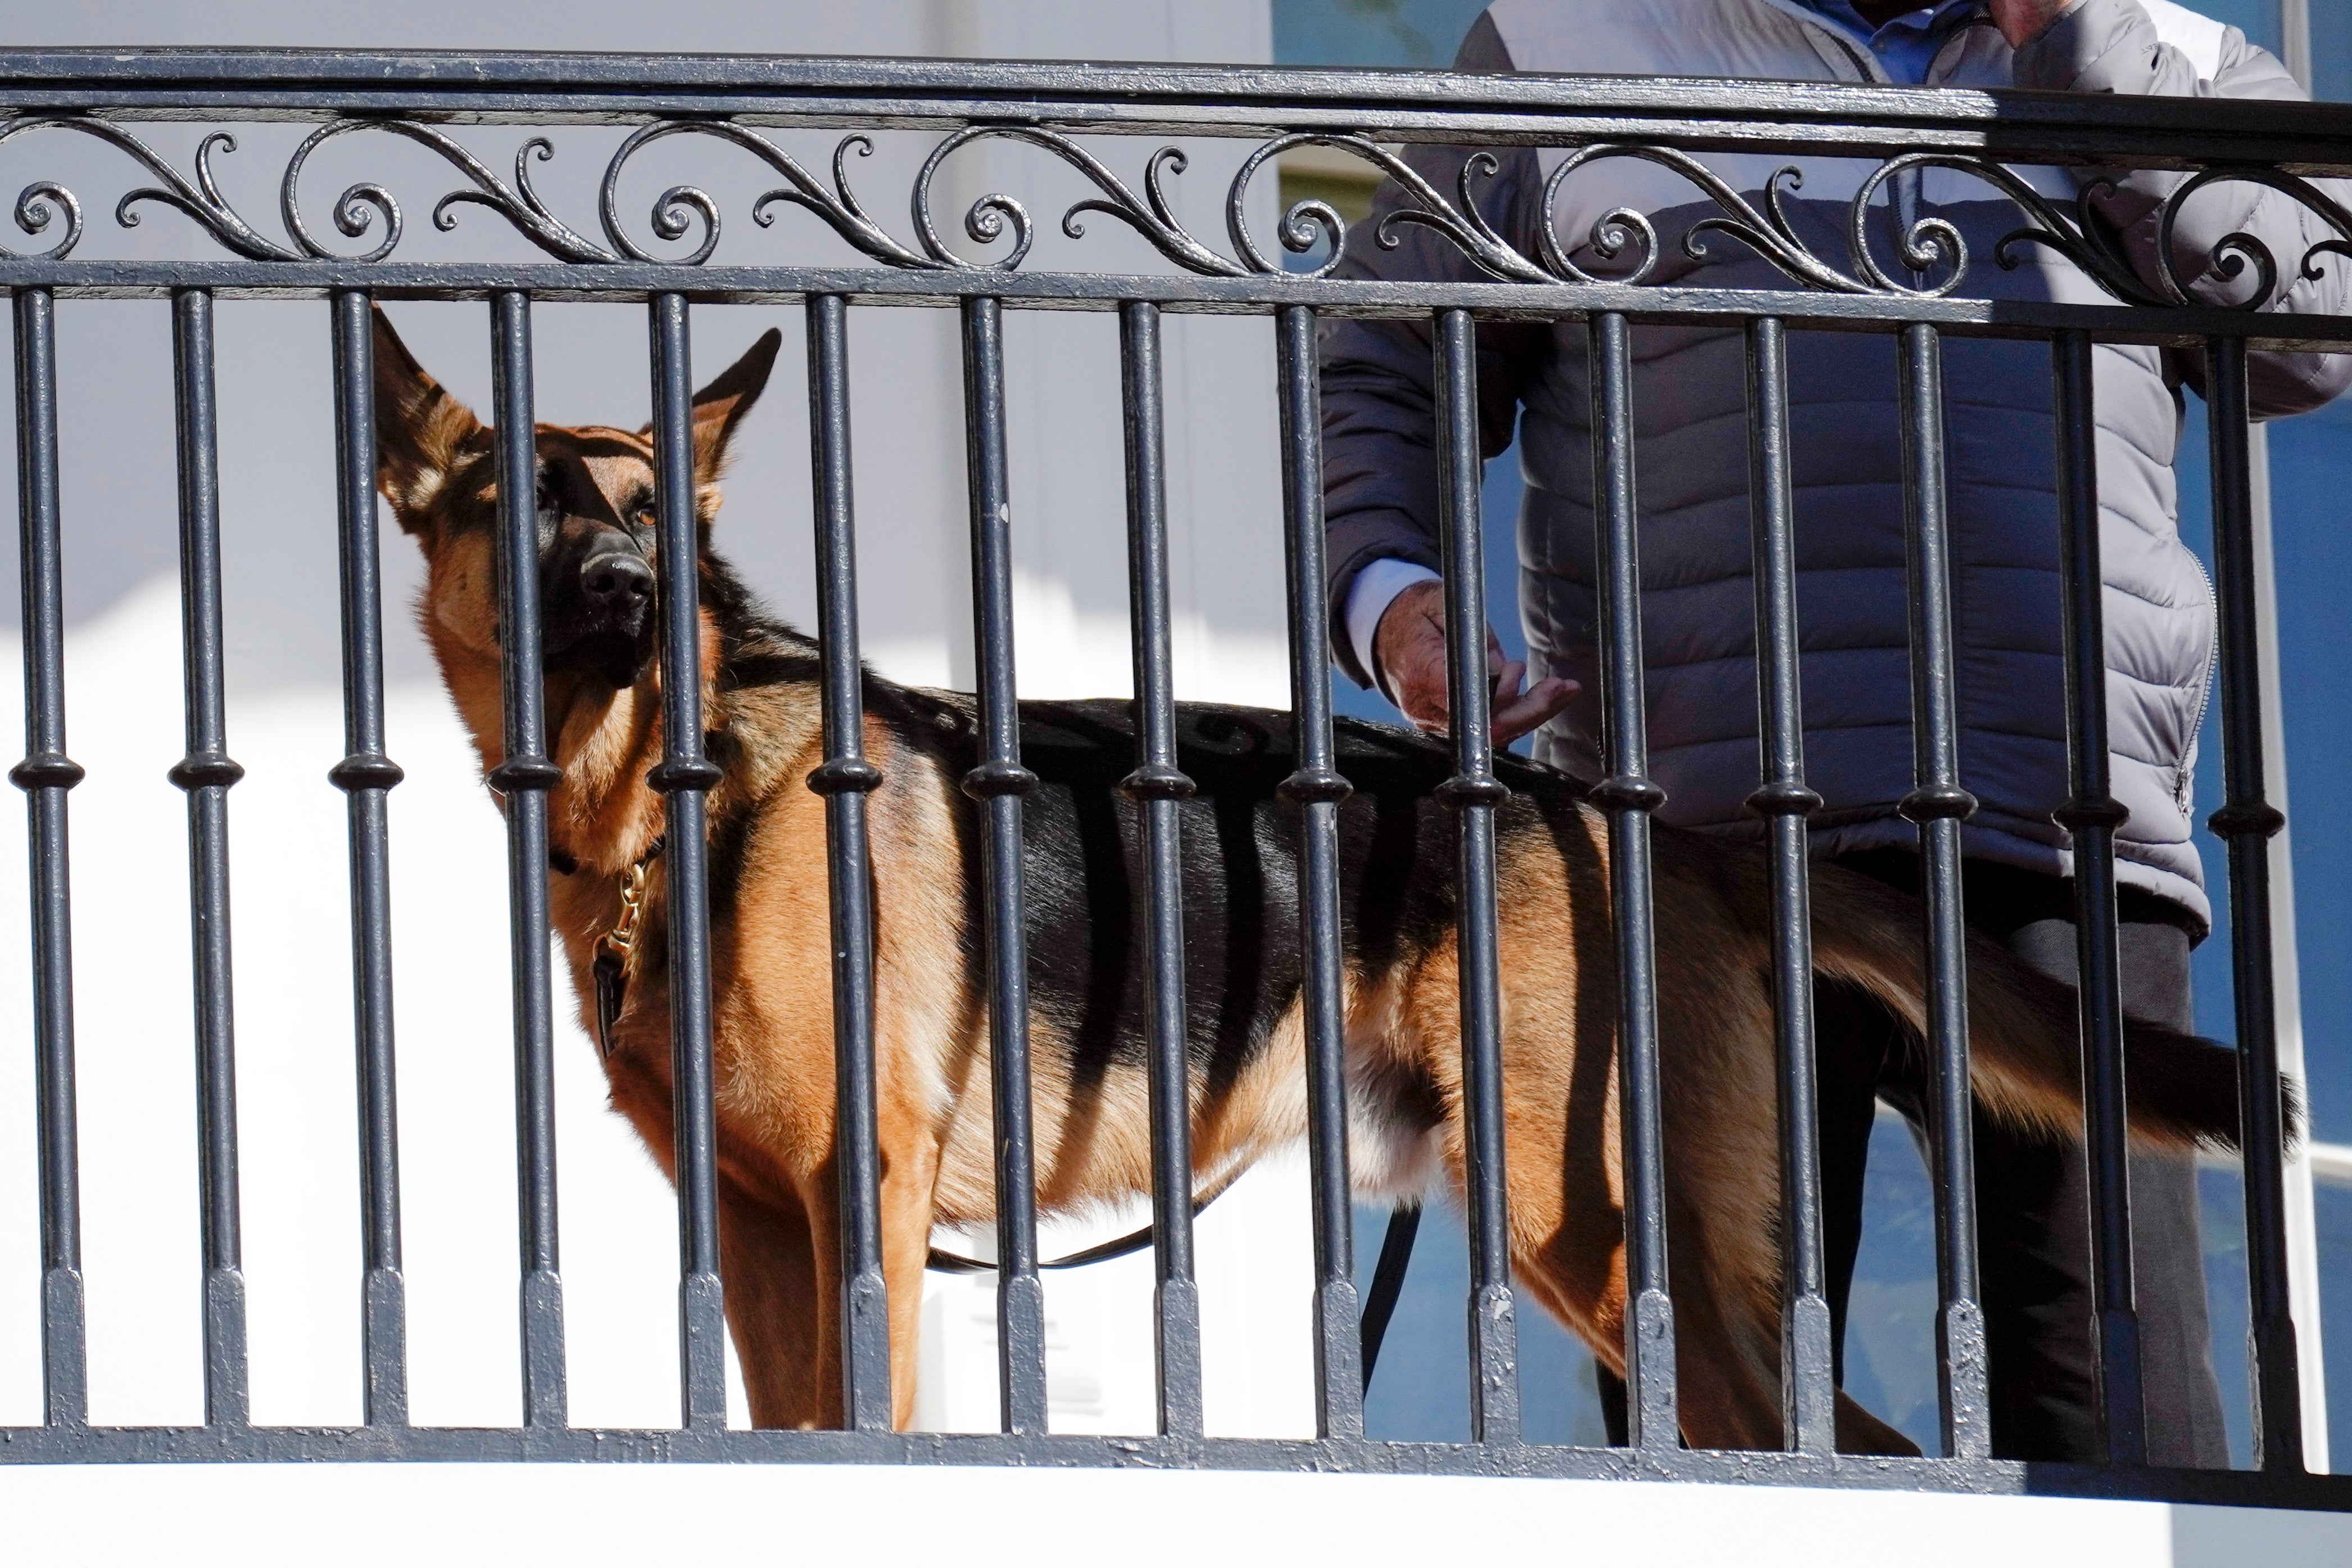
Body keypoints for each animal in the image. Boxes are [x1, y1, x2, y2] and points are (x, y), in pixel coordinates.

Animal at [371, 310, 2258, 1457]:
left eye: (652, 521)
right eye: (518, 502)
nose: (625, 593)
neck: (674, 794)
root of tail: (1650, 826)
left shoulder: (864, 1204)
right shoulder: (766, 1231)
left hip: (1587, 1221)